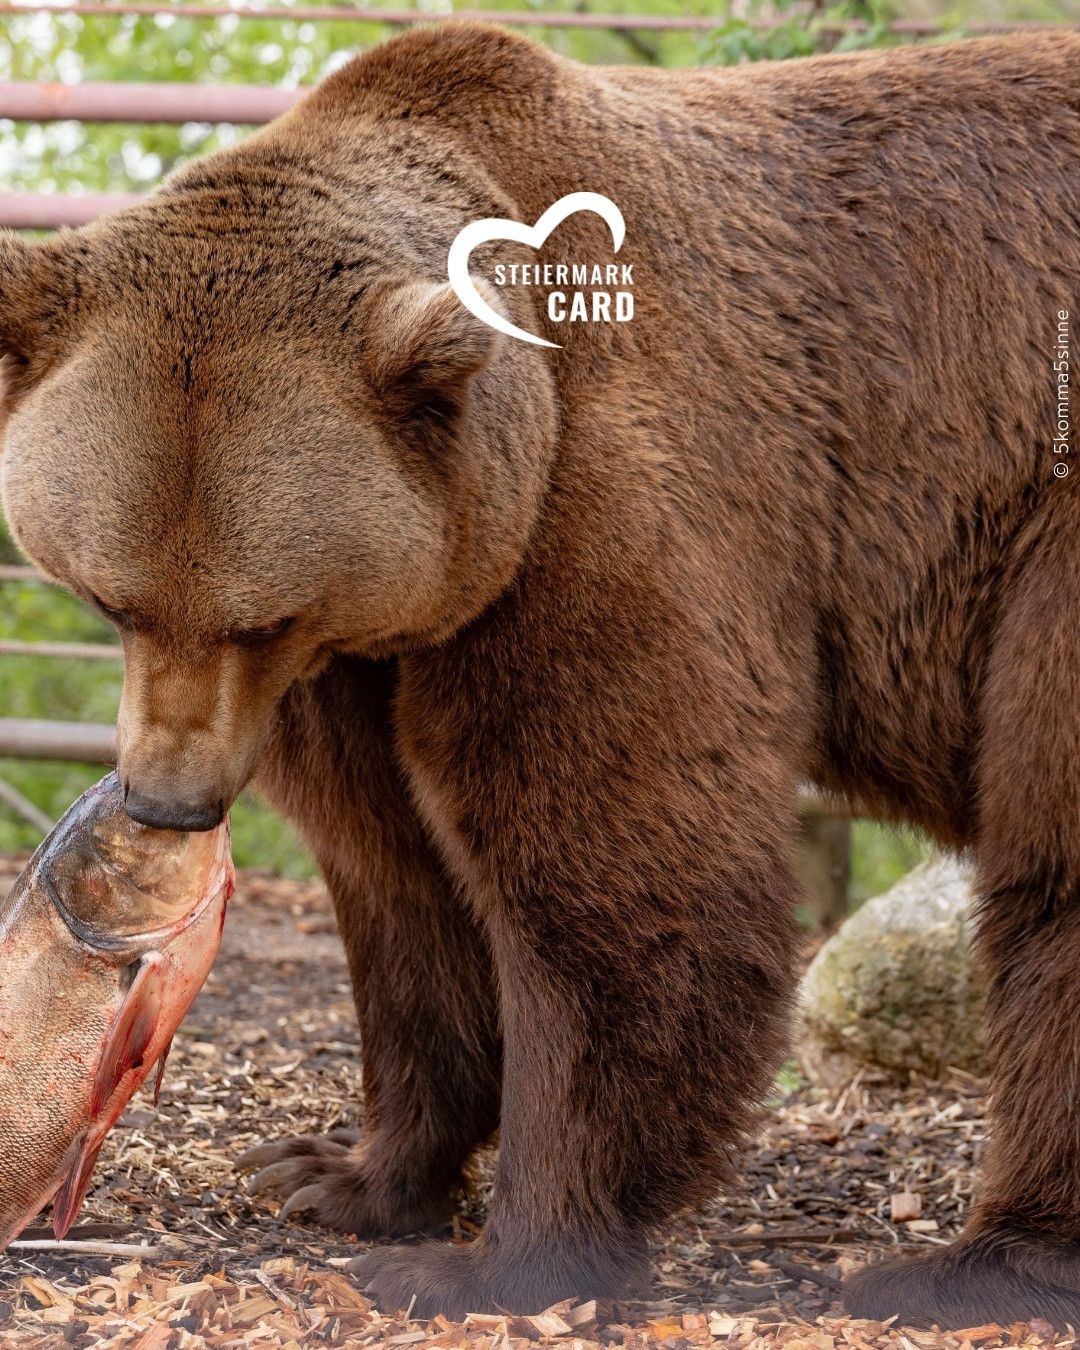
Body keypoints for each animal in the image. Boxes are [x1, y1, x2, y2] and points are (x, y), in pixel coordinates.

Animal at [1, 20, 1079, 1327]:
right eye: (112, 596)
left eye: (262, 616)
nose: (170, 800)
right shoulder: (371, 649)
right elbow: (399, 875)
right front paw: (336, 1173)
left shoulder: (605, 505)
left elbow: (614, 874)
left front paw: (498, 1254)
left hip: (1041, 524)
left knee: (1053, 867)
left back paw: (980, 1259)